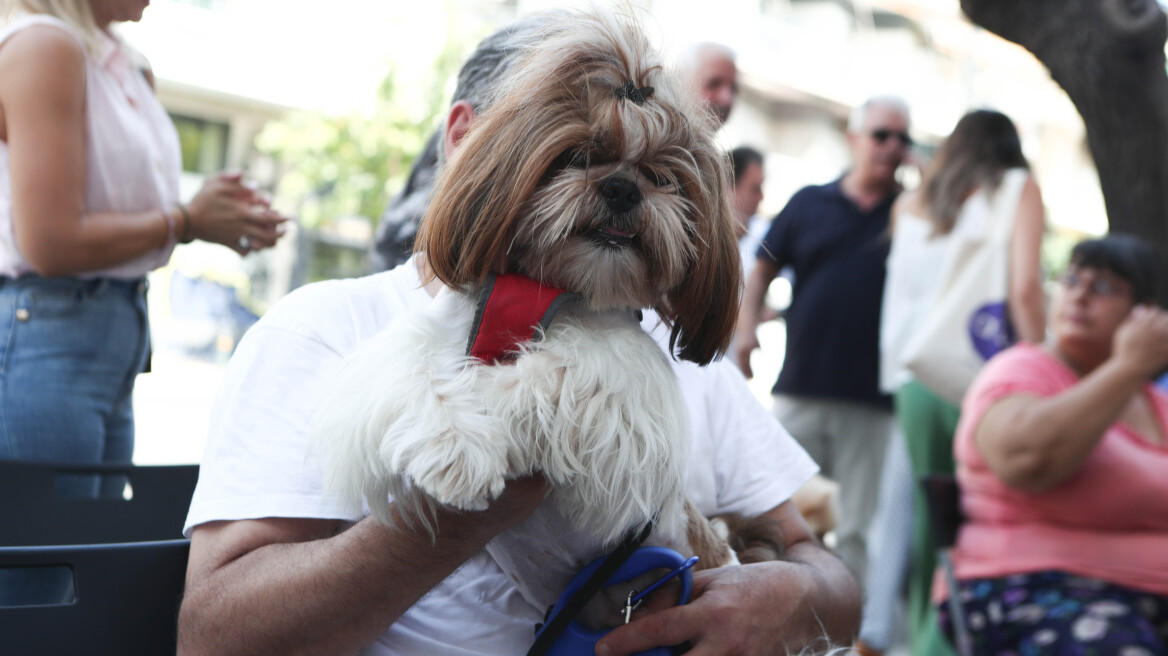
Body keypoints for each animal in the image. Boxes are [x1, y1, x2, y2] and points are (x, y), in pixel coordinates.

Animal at [308, 7, 775, 611]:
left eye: (662, 177)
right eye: (578, 157)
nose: (623, 187)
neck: (545, 288)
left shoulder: (620, 387)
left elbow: (551, 375)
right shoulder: (411, 348)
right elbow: (418, 373)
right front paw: (457, 447)